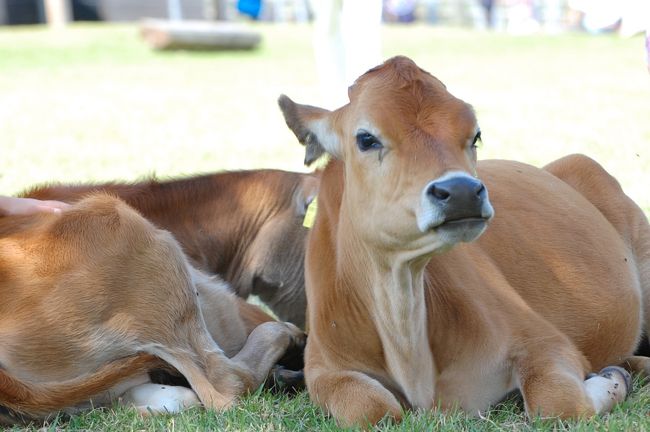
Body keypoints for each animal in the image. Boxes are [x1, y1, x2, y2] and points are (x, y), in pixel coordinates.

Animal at [280, 55, 648, 426]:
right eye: (366, 138)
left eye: (476, 135)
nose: (460, 191)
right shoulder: (323, 367)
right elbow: (370, 409)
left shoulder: (544, 341)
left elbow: (556, 402)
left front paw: (611, 381)